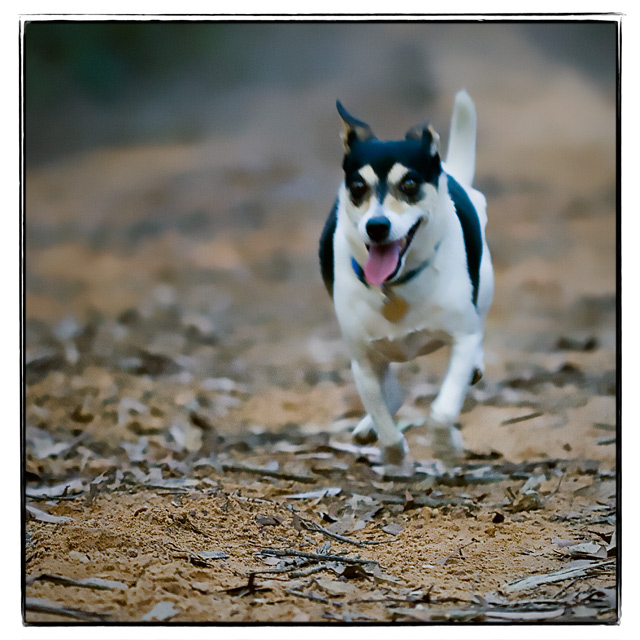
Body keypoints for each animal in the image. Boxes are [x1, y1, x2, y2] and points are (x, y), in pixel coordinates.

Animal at [320, 90, 496, 464]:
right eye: (358, 186)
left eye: (410, 184)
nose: (377, 225)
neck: (395, 286)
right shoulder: (363, 362)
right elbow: (383, 418)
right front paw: (394, 456)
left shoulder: (462, 339)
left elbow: (442, 412)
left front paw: (447, 447)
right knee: (391, 394)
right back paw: (369, 426)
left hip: (485, 286)